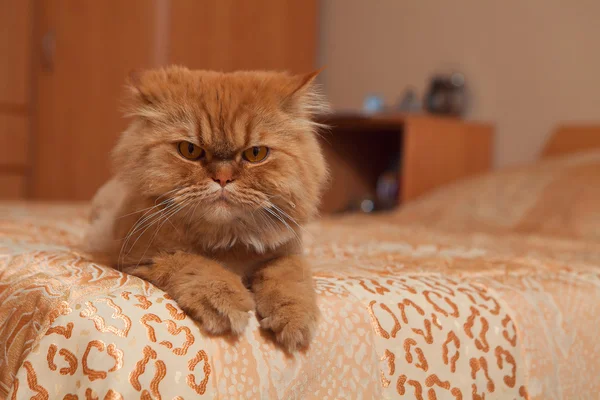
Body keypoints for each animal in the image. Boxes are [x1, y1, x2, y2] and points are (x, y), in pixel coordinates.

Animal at [85, 65, 328, 350]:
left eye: (255, 154)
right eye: (189, 150)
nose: (222, 178)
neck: (227, 240)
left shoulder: (289, 252)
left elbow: (289, 278)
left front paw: (294, 321)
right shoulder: (138, 258)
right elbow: (198, 265)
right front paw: (226, 302)